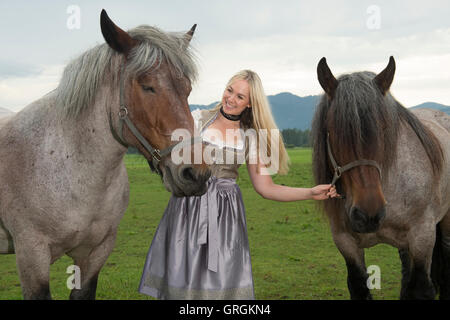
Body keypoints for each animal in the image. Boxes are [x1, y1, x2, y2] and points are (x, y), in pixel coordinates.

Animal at [312, 56, 450, 298]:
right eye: (334, 130)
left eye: (384, 129)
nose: (368, 213)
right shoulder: (346, 243)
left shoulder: (422, 236)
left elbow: (422, 288)